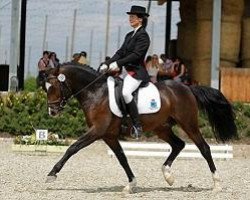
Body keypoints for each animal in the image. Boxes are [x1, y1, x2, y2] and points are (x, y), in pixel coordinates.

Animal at [44, 63, 237, 192]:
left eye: (53, 87)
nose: (52, 111)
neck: (96, 93)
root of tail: (188, 88)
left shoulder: (97, 131)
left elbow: (72, 148)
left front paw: (51, 174)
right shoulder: (109, 135)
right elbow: (122, 158)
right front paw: (131, 184)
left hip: (188, 124)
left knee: (204, 148)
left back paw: (217, 184)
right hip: (161, 128)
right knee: (178, 145)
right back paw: (168, 176)